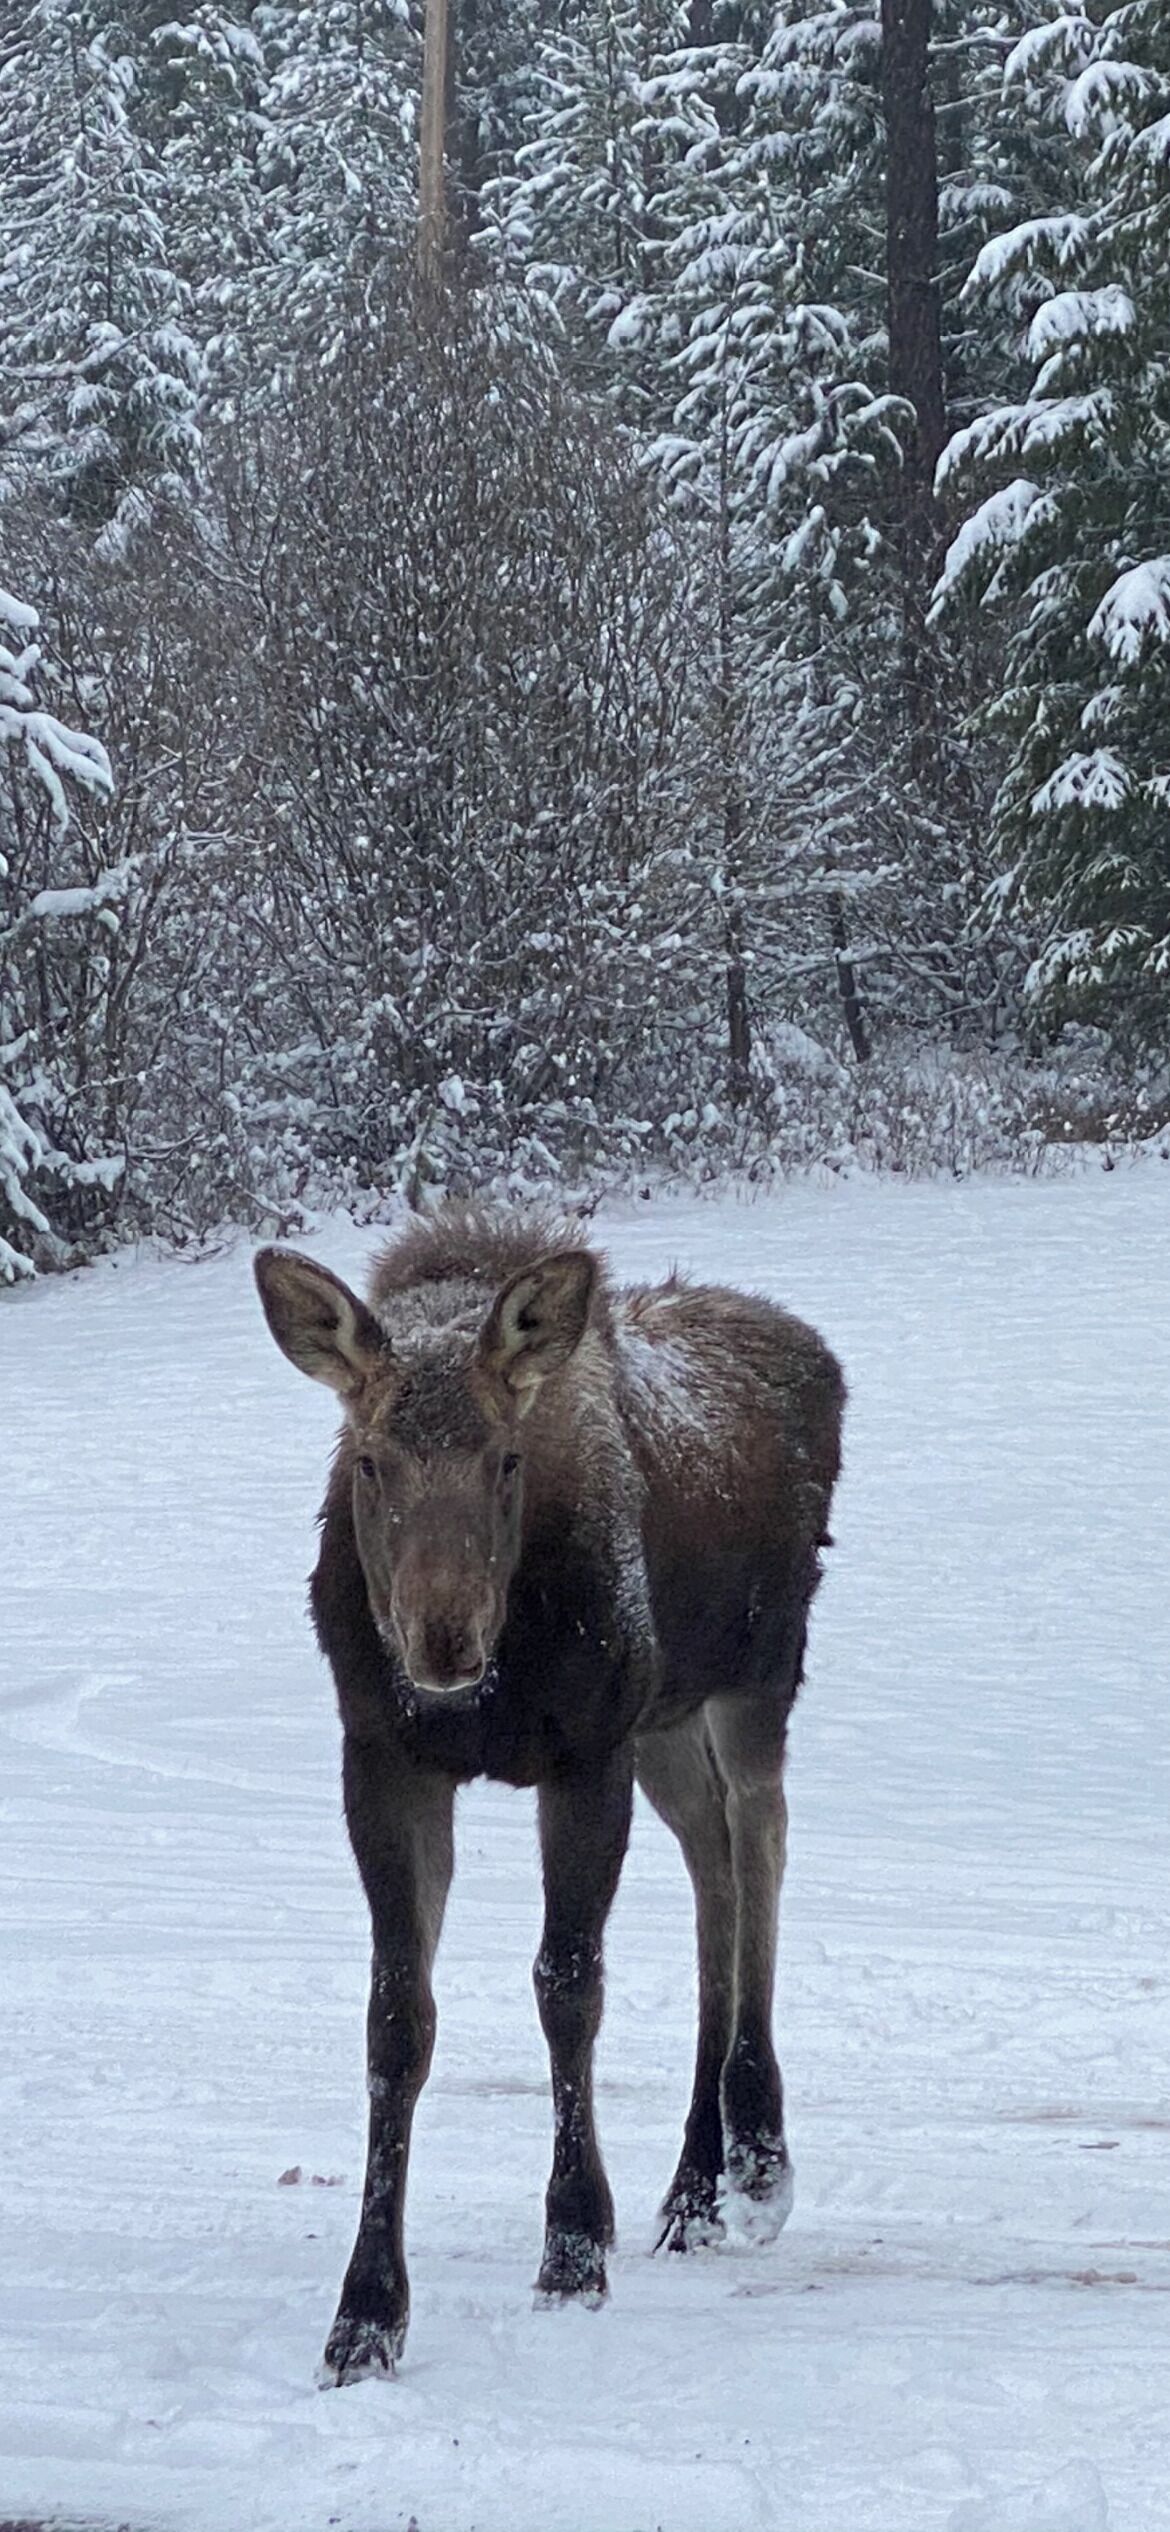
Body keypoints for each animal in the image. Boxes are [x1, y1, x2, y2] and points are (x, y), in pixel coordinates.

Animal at [254, 1206, 844, 2381]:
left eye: (505, 1457)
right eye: (371, 1461)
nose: (441, 1642)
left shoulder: (583, 1751)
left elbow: (569, 1987)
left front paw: (573, 2250)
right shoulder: (384, 1755)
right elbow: (397, 2019)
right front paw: (366, 2314)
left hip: (754, 1677)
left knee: (760, 1843)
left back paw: (757, 2158)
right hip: (665, 1719)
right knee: (712, 1865)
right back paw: (692, 2189)